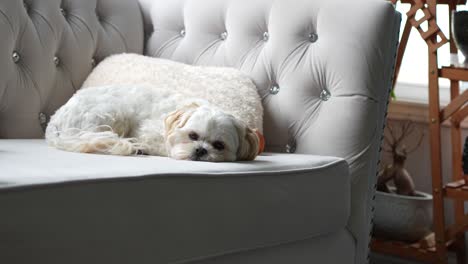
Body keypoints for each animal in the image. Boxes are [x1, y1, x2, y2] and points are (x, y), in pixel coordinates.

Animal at [44, 84, 260, 163]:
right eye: (192, 136)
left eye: (219, 145)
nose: (200, 150)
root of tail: (56, 118)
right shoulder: (148, 131)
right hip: (111, 112)